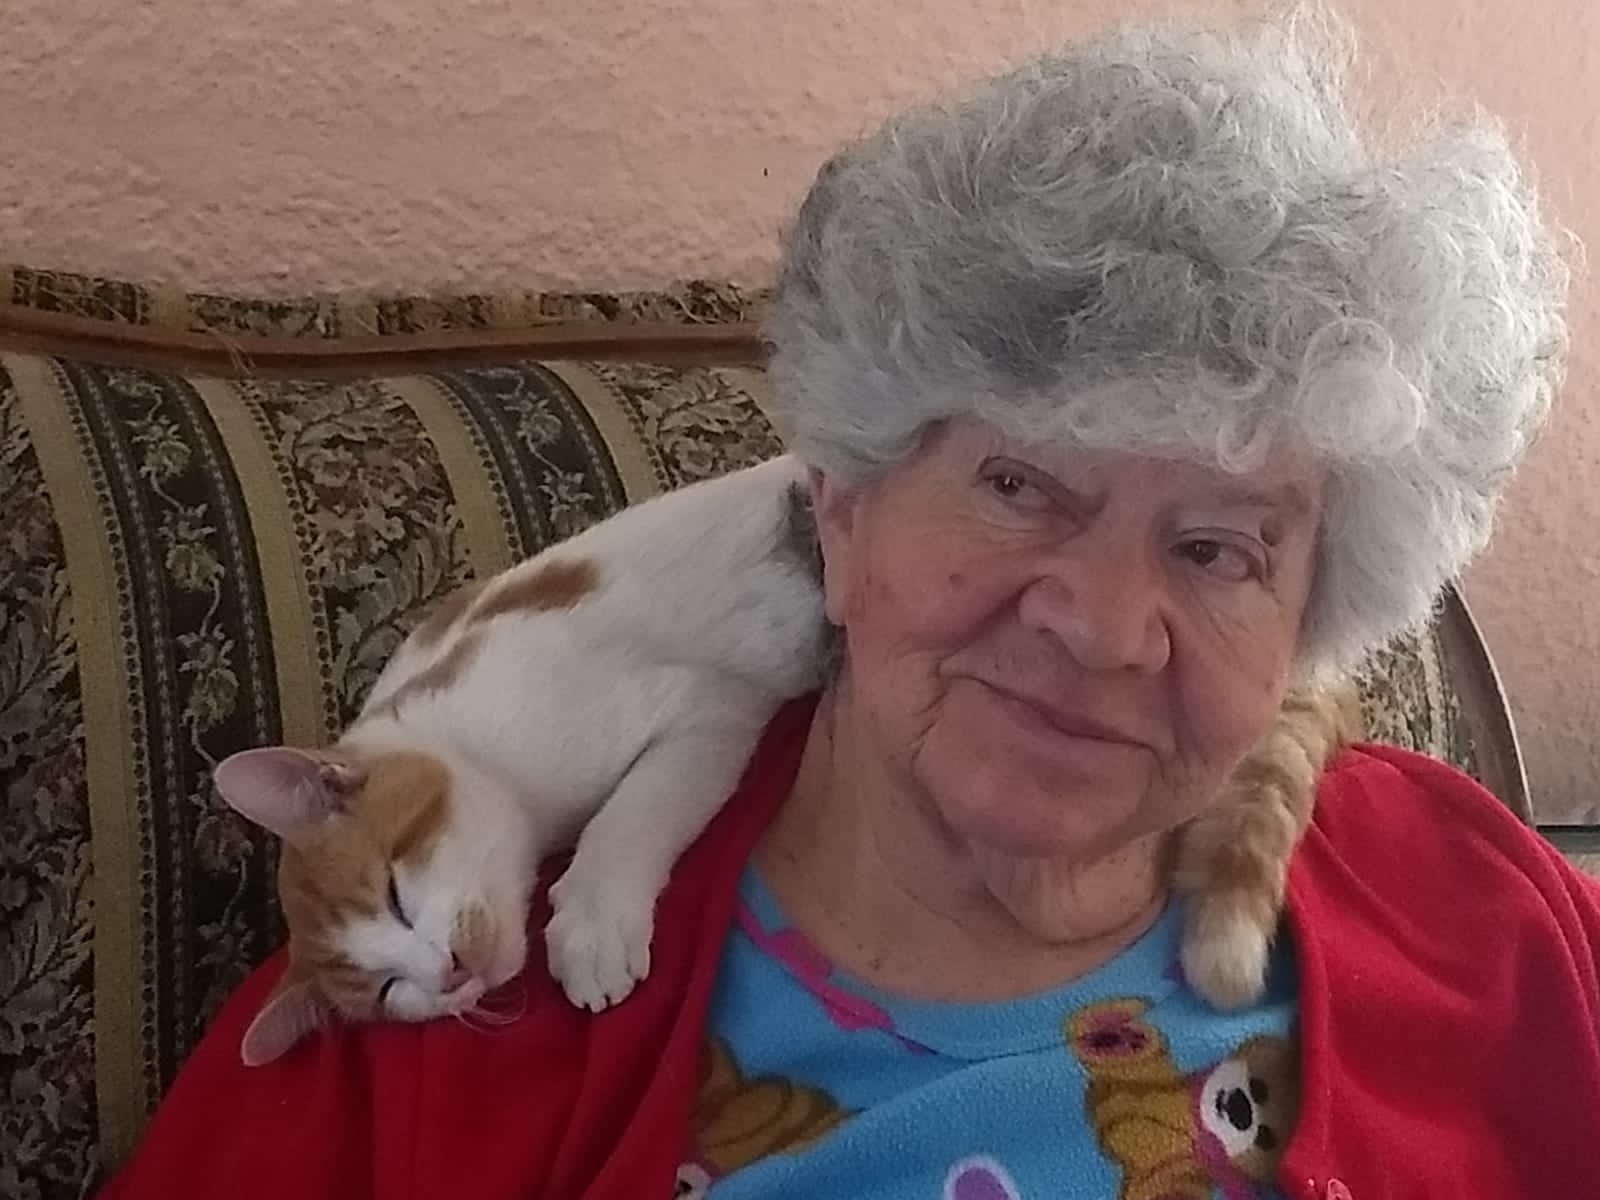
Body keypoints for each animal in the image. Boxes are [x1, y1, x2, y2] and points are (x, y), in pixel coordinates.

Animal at [214, 454, 1355, 1066]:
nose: (446, 975)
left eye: (395, 889)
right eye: (388, 997)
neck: (461, 735)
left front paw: (592, 924)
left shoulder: (703, 711)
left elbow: (633, 816)